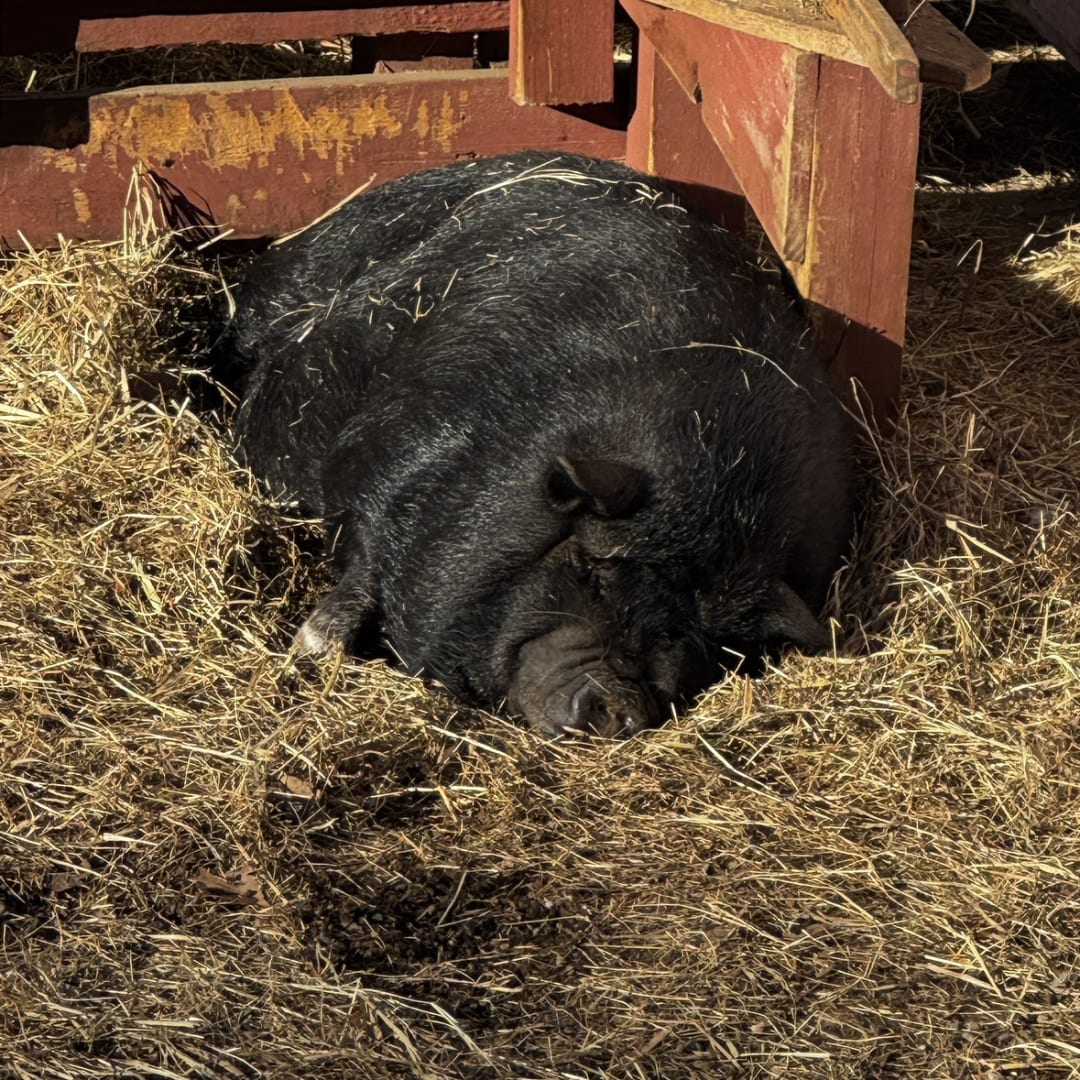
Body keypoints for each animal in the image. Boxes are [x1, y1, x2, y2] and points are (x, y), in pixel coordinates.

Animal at [216, 151, 853, 738]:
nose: (622, 703)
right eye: (592, 567)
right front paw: (310, 650)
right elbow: (365, 568)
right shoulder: (394, 462)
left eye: (707, 636)